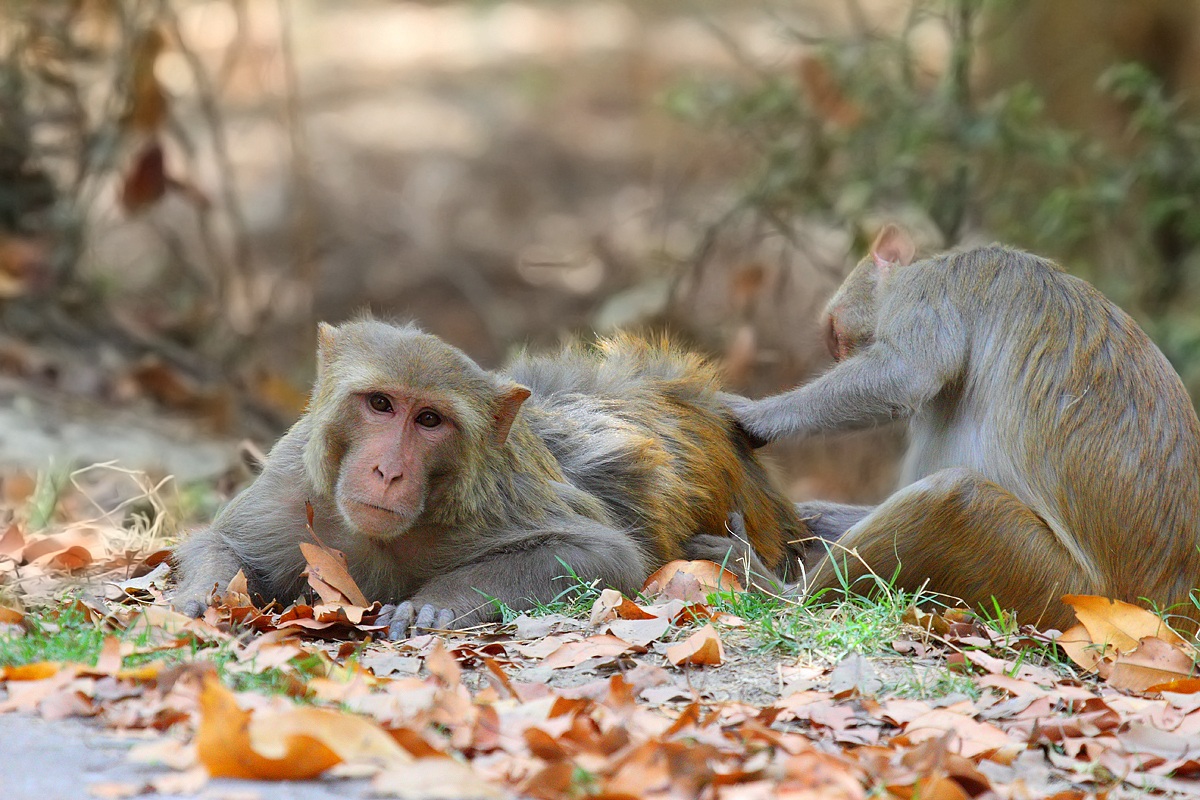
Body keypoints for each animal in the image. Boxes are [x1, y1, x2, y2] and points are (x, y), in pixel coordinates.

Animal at [172, 319, 808, 638]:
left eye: (429, 420)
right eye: (380, 404)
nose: (387, 470)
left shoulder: (500, 498)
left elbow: (604, 554)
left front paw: (436, 606)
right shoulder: (292, 487)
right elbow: (225, 543)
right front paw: (204, 596)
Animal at [725, 225, 1200, 632]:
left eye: (835, 335)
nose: (837, 356)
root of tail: (1171, 615)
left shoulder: (929, 292)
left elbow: (905, 373)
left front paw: (756, 417)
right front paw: (811, 519)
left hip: (1057, 593)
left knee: (955, 496)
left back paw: (773, 590)